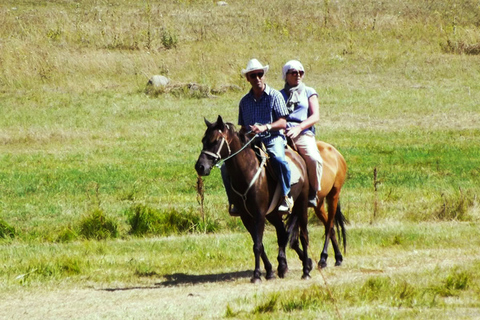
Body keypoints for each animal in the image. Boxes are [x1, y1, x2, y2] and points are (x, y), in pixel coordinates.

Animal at [195, 115, 312, 282]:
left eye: (216, 140)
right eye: (203, 140)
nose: (200, 167)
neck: (247, 171)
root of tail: (298, 157)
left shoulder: (259, 214)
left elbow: (257, 245)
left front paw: (256, 275)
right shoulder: (246, 216)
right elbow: (259, 244)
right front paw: (269, 271)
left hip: (301, 206)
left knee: (303, 236)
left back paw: (306, 271)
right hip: (273, 214)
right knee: (282, 234)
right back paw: (284, 266)